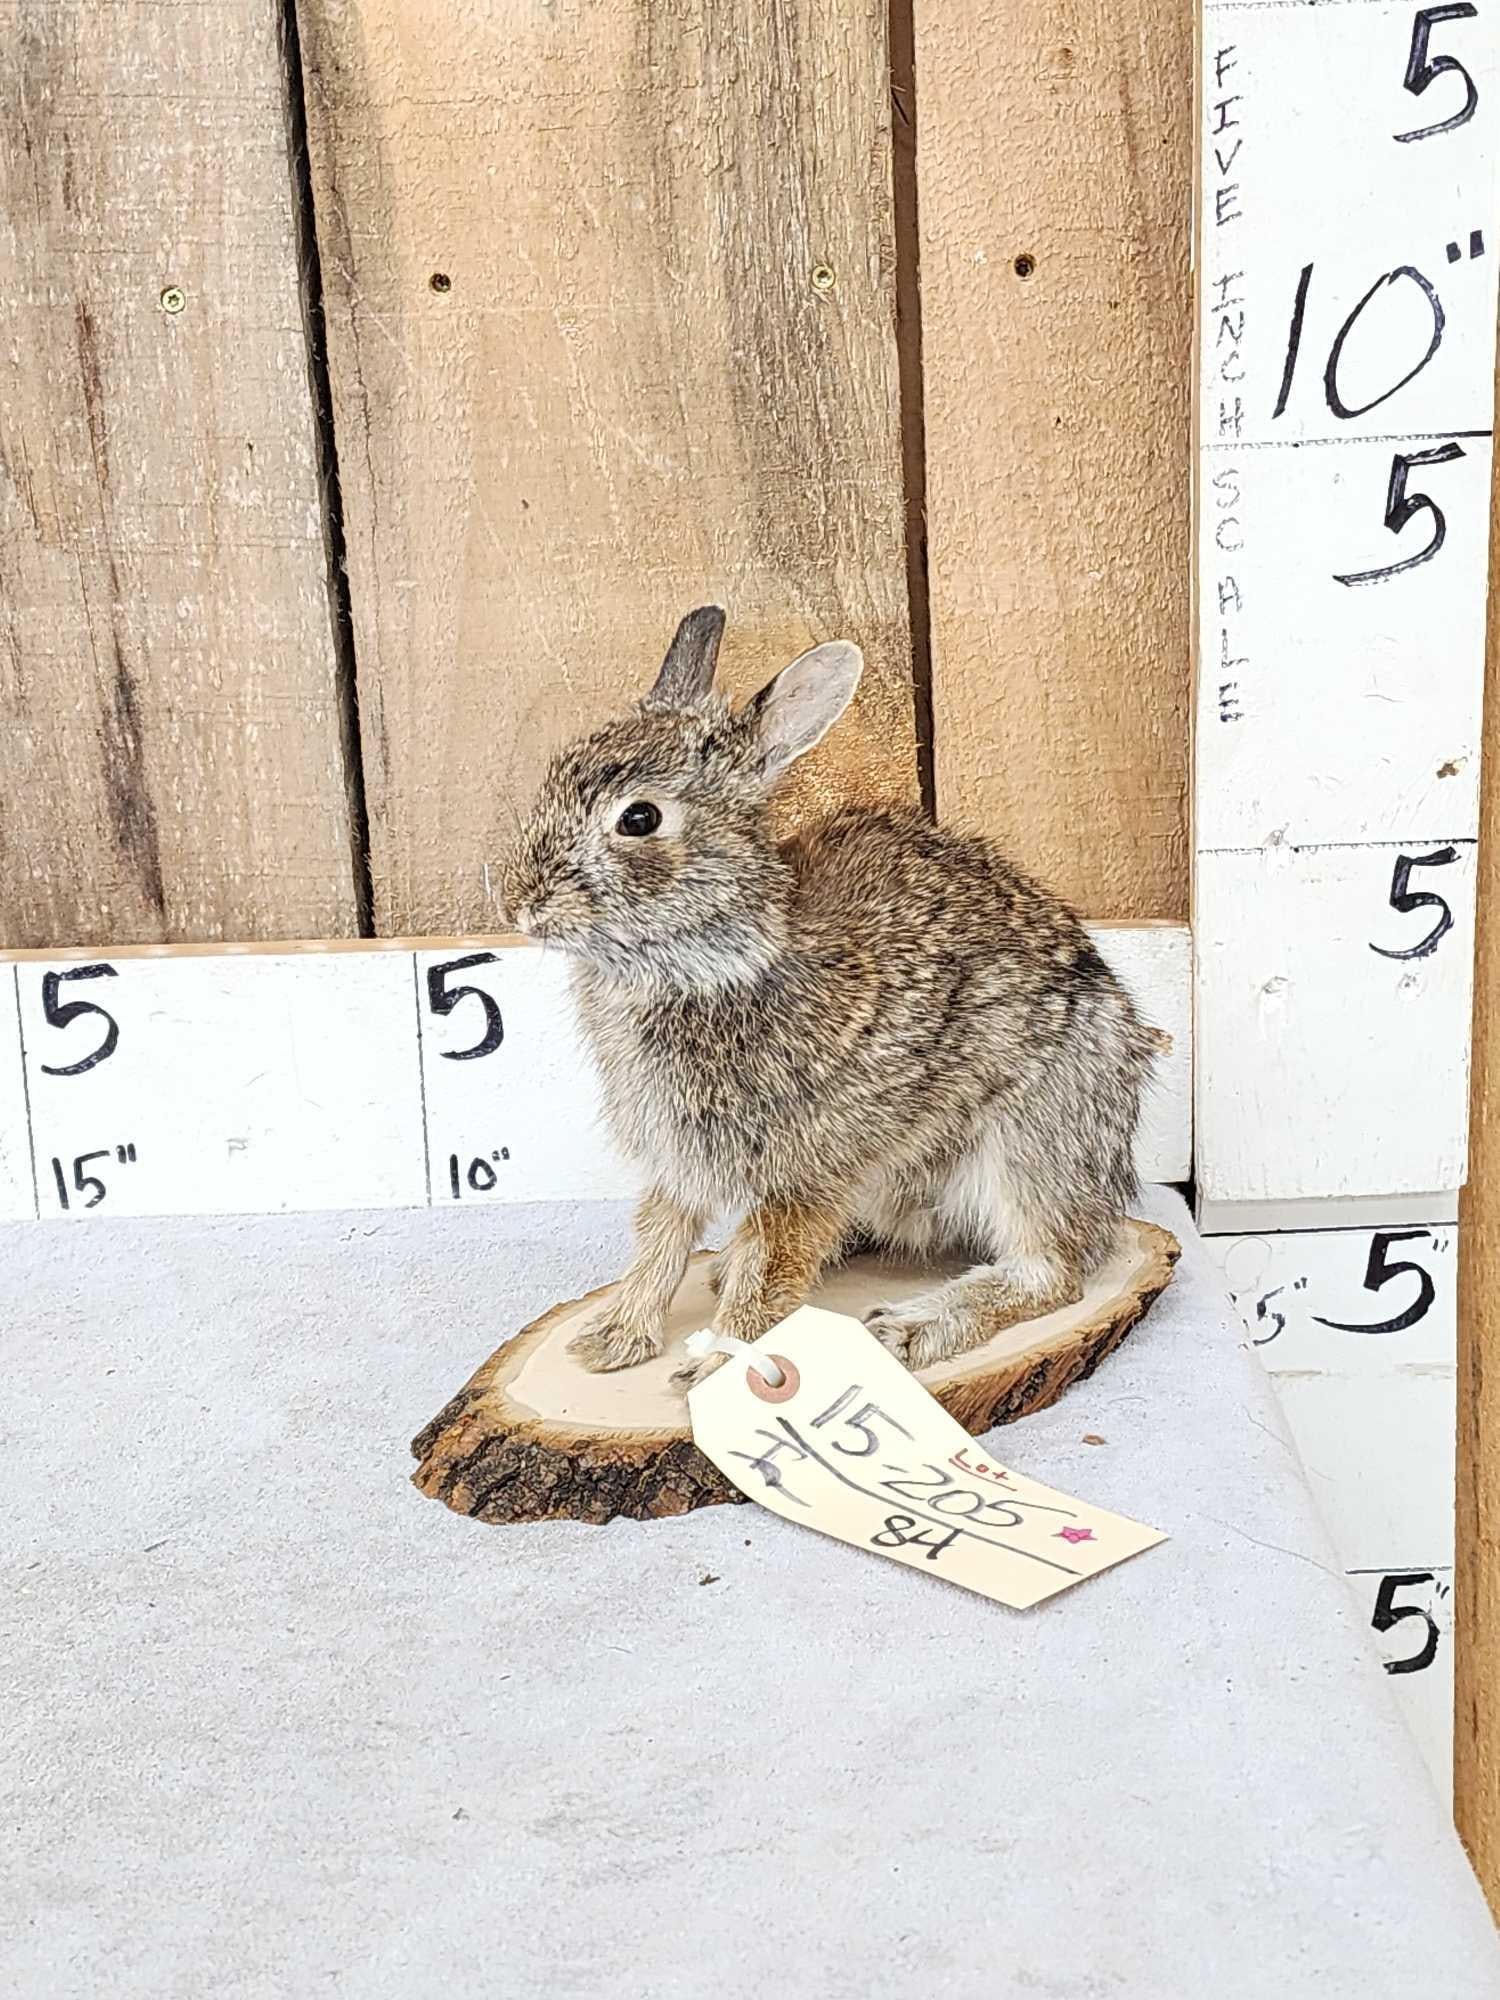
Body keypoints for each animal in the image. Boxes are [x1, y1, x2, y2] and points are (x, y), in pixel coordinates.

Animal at [501, 606, 1160, 1389]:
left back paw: (909, 1329)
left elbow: (770, 1267)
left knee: (1049, 1272)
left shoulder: (807, 1170)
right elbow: (659, 1241)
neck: (721, 957)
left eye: (639, 820)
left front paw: (720, 1370)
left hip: (1031, 1140)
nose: (517, 903)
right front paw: (611, 1342)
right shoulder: (681, 1160)